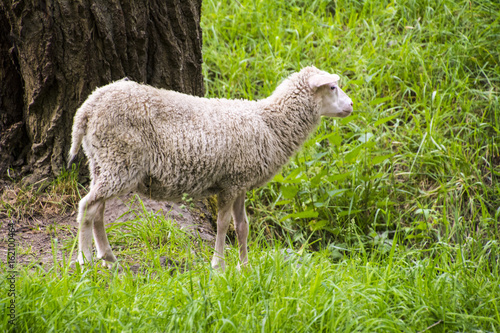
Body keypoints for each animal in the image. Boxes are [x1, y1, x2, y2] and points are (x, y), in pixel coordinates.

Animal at [68, 65, 354, 270]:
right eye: (332, 87)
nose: (351, 105)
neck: (270, 124)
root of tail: (87, 108)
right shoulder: (231, 182)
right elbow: (223, 224)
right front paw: (219, 266)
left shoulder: (241, 182)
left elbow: (242, 226)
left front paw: (245, 267)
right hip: (119, 160)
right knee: (86, 206)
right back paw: (85, 259)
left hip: (103, 162)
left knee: (97, 209)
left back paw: (108, 258)